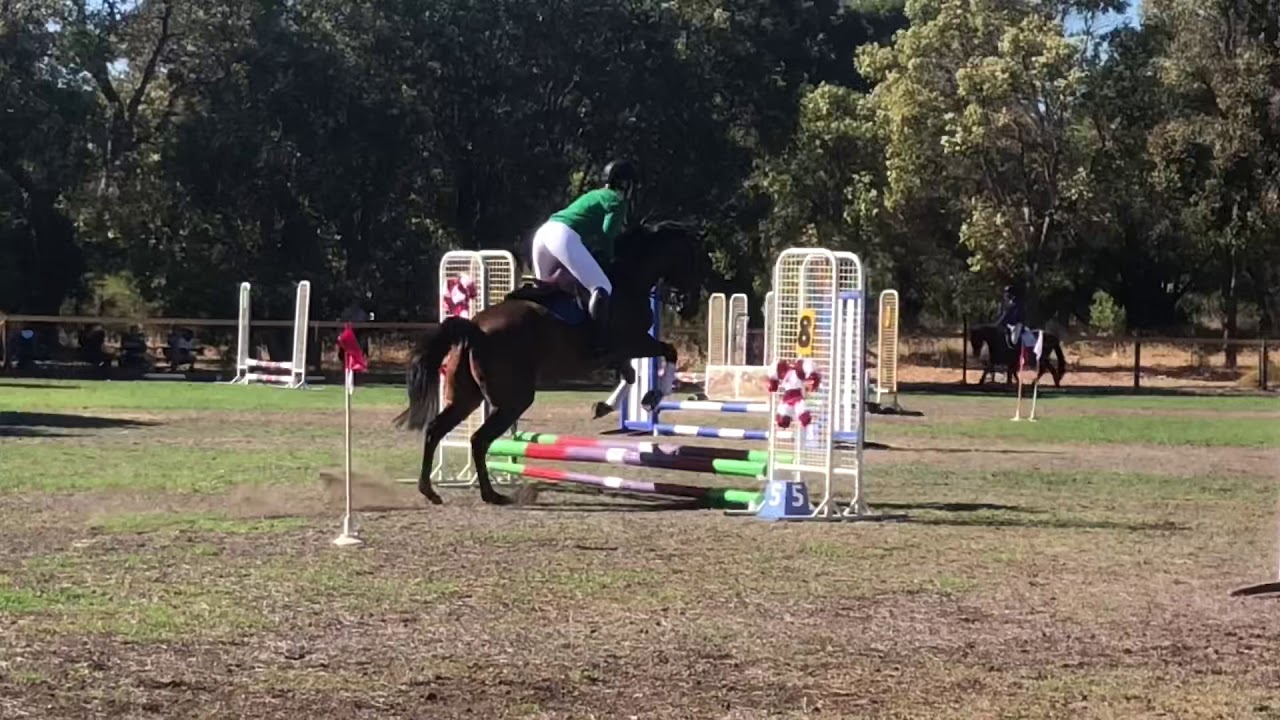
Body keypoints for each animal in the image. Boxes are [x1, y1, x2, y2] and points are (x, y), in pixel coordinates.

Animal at [393, 220, 707, 506]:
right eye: (692, 260)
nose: (690, 306)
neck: (629, 281)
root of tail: (475, 326)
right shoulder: (634, 341)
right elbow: (669, 352)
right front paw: (652, 396)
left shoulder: (620, 352)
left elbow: (630, 375)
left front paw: (607, 405)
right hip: (514, 400)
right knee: (478, 440)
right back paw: (492, 495)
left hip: (466, 397)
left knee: (436, 429)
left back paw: (430, 490)